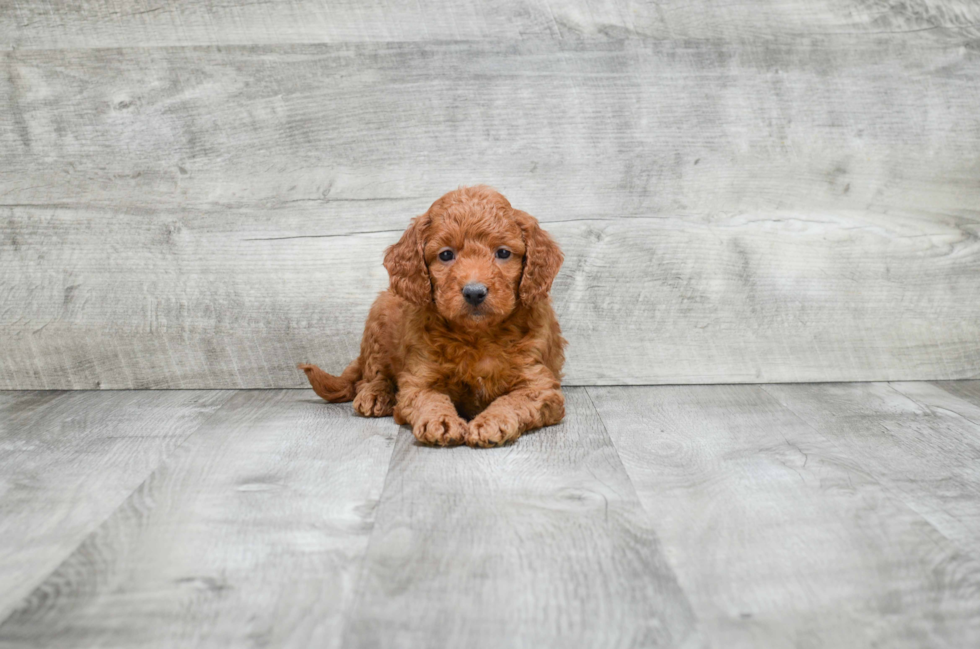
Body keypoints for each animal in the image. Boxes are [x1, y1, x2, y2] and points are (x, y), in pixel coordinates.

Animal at [296, 184, 568, 446]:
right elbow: (429, 399)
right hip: (378, 323)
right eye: (446, 254)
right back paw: (375, 395)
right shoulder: (418, 378)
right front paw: (441, 422)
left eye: (503, 253)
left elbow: (513, 400)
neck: (477, 335)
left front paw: (492, 422)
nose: (474, 292)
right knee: (372, 374)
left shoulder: (539, 383)